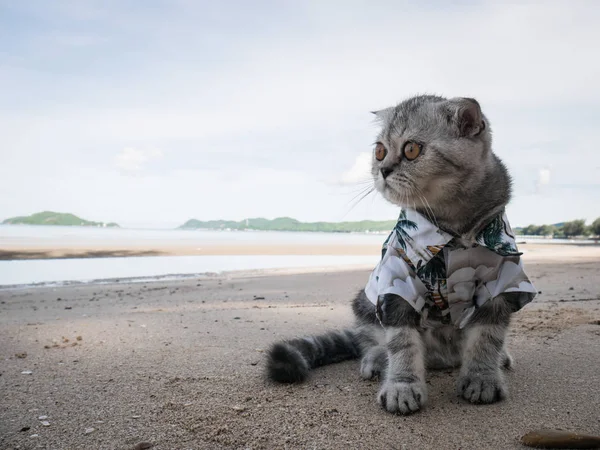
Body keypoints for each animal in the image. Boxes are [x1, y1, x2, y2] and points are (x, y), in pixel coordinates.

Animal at [264, 95, 536, 414]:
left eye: (411, 149)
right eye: (380, 151)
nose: (383, 169)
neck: (454, 228)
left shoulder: (501, 280)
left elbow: (487, 338)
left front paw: (482, 378)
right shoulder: (397, 282)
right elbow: (402, 342)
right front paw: (402, 386)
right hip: (365, 300)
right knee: (369, 339)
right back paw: (377, 359)